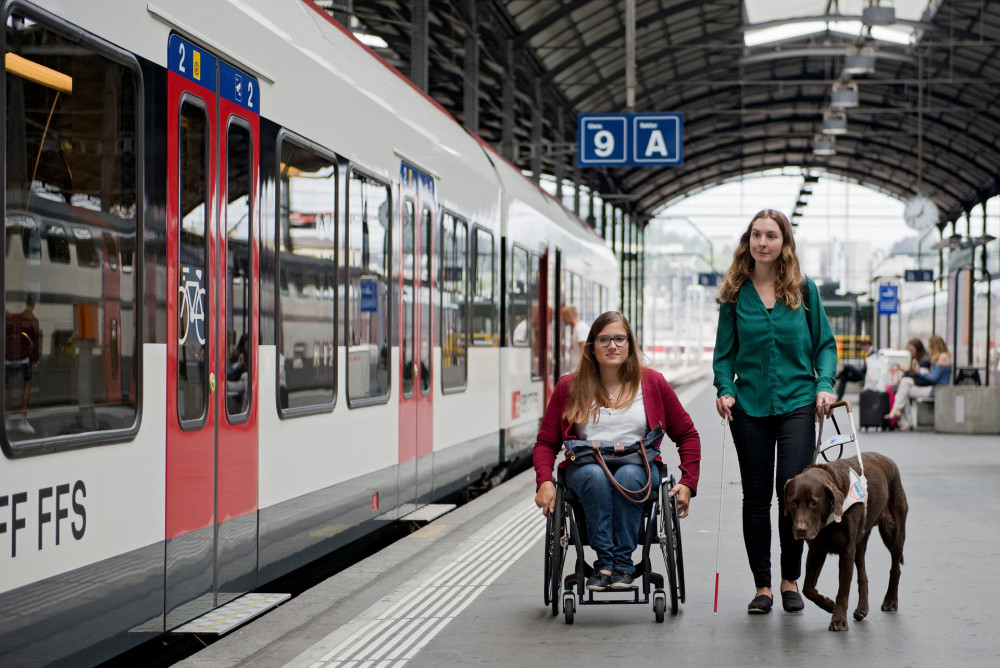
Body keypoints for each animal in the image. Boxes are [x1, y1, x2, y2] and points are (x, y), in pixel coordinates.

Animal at [784, 452, 912, 628]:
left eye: (814, 503)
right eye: (792, 503)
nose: (801, 530)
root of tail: (885, 458)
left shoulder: (846, 552)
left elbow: (843, 591)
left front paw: (838, 620)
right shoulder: (816, 551)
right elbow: (807, 588)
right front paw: (828, 604)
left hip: (894, 532)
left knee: (895, 568)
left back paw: (890, 601)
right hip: (859, 543)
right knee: (863, 575)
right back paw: (862, 608)